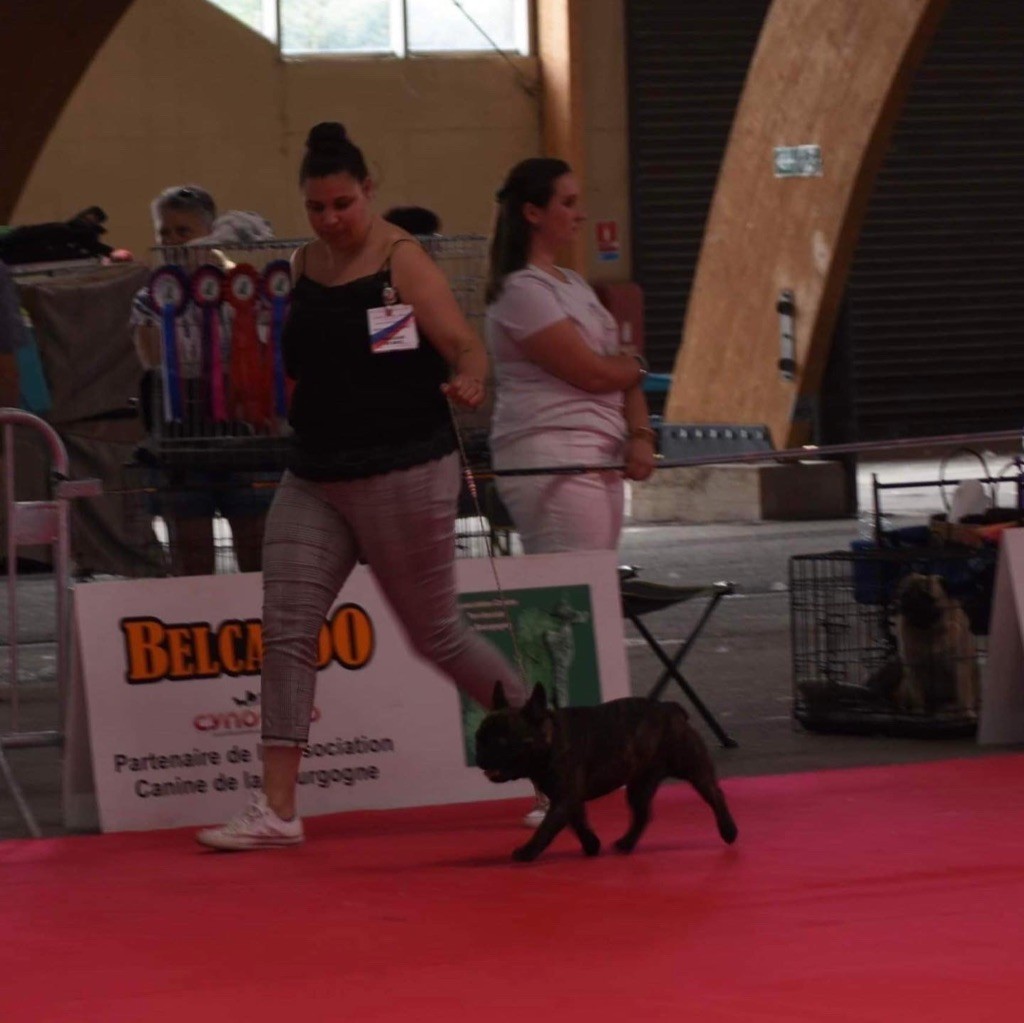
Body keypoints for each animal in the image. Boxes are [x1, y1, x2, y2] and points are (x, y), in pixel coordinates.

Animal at [475, 682, 737, 862]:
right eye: (479, 737)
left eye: (502, 741)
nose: (479, 755)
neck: (549, 740)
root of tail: (671, 709)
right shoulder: (568, 799)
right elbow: (578, 822)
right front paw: (591, 844)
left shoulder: (564, 799)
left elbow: (548, 828)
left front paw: (528, 852)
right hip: (639, 784)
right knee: (642, 814)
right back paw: (626, 844)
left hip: (691, 768)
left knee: (715, 794)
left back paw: (728, 831)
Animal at [892, 572, 978, 716]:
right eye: (905, 595)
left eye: (926, 596)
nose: (912, 602)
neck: (929, 632)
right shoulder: (914, 668)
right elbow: (917, 694)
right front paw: (918, 712)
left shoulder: (960, 665)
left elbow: (964, 692)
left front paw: (967, 713)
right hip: (905, 687)